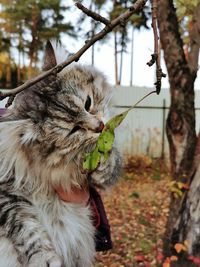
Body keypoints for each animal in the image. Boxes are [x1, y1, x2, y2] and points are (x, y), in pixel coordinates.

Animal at [0, 40, 121, 266]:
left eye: (88, 103)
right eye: (73, 130)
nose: (100, 127)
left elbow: (112, 161)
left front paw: (104, 165)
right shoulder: (7, 196)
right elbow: (27, 231)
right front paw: (44, 259)